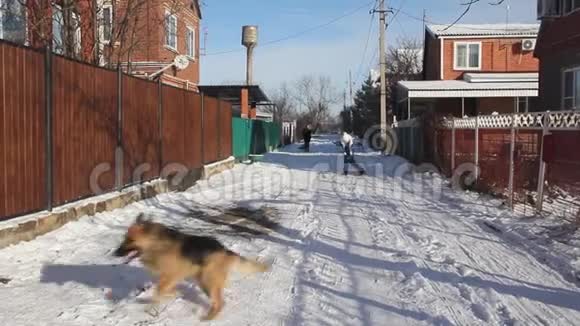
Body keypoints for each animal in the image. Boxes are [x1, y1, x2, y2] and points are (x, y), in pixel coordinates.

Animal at [114, 214, 270, 320]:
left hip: (207, 282)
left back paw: (208, 318)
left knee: (220, 302)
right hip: (203, 281)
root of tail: (224, 250)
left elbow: (159, 291)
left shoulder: (172, 275)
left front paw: (153, 306)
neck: (157, 244)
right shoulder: (170, 277)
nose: (115, 253)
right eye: (124, 238)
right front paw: (174, 294)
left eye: (130, 240)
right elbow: (164, 290)